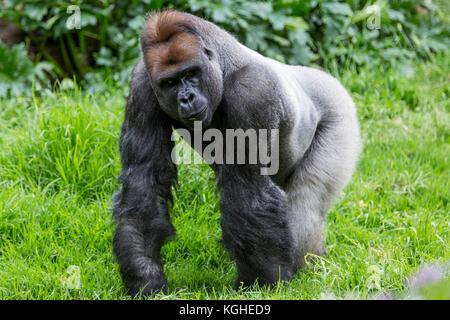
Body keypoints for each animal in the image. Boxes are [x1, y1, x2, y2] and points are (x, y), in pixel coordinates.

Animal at [113, 10, 362, 296]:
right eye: (171, 82)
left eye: (191, 73)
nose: (186, 98)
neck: (222, 66)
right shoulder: (143, 86)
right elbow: (144, 182)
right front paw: (145, 276)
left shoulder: (252, 91)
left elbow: (248, 190)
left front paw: (261, 283)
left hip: (340, 112)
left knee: (306, 199)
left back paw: (308, 263)